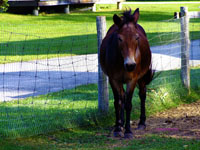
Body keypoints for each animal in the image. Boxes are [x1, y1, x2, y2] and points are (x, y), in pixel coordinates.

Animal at [101, 8, 154, 138]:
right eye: (119, 38)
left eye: (137, 38)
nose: (130, 65)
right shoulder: (114, 79)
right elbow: (118, 102)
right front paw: (118, 128)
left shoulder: (132, 80)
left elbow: (128, 104)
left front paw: (128, 131)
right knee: (122, 97)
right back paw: (121, 124)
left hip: (141, 79)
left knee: (142, 95)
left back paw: (141, 123)